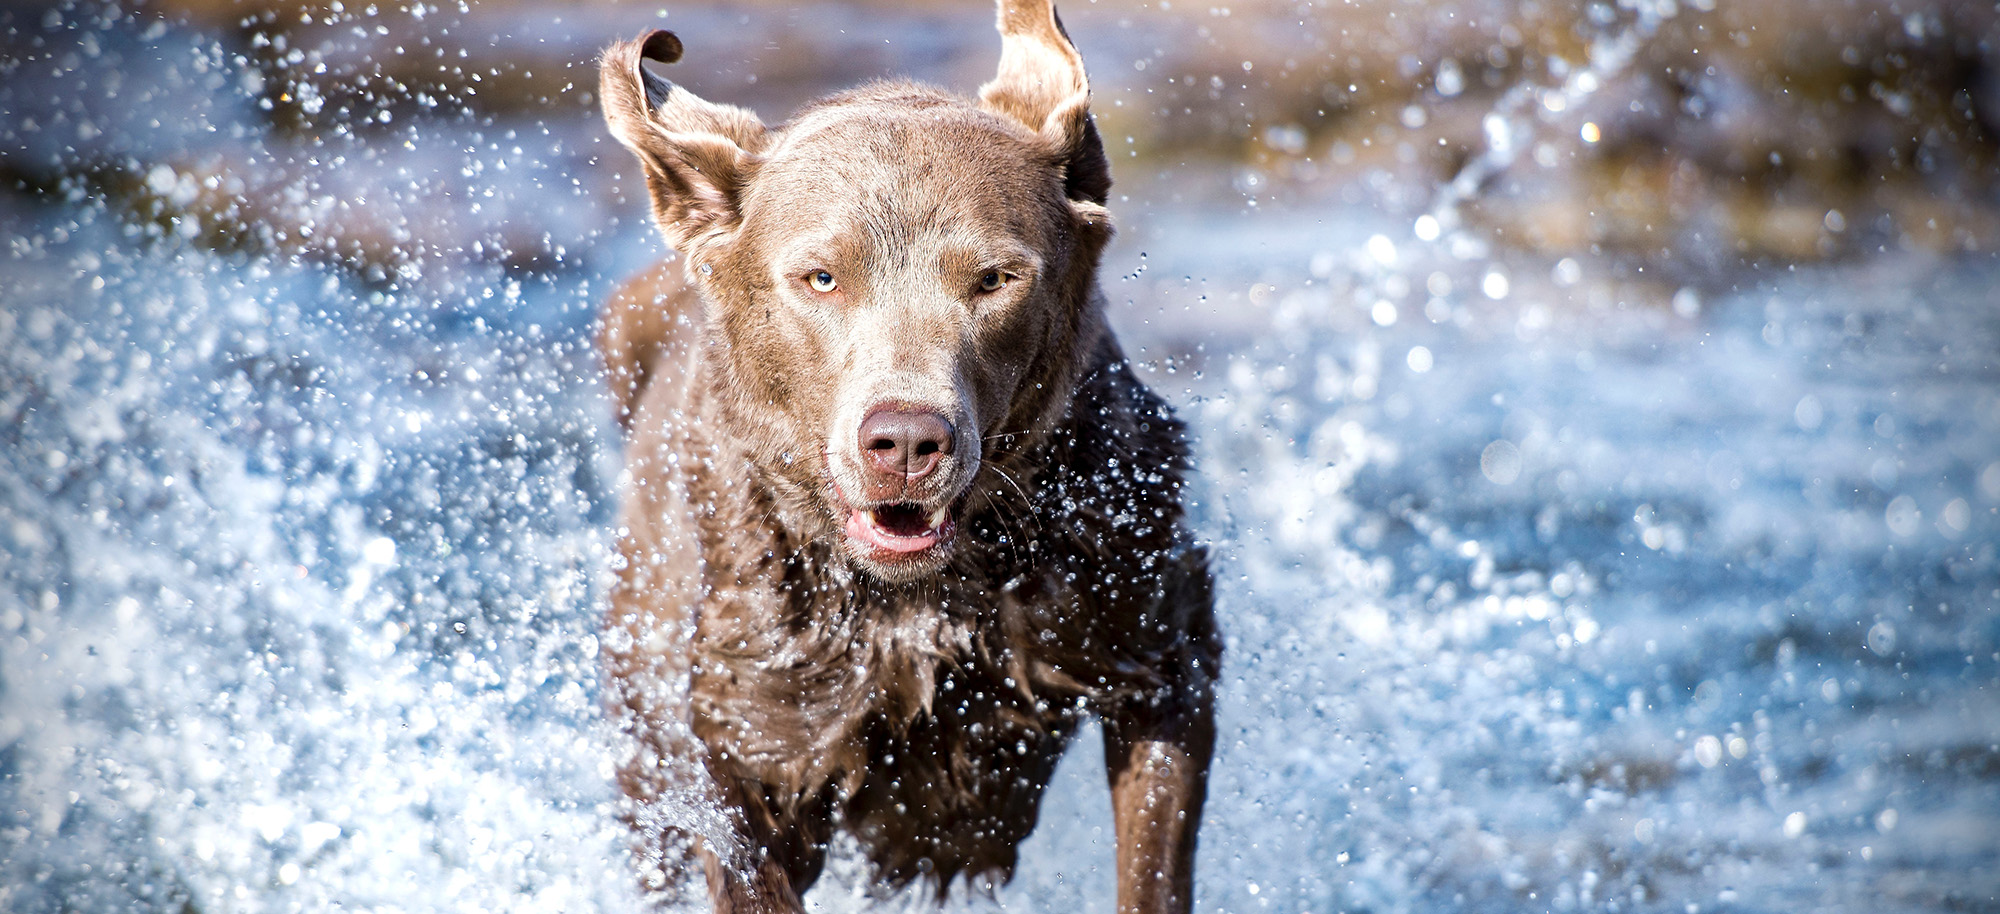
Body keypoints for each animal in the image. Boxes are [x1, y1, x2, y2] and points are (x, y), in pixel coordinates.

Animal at [592, 3, 1216, 908]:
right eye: (820, 277)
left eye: (996, 279)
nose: (909, 440)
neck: (920, 602)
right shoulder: (754, 729)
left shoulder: (1159, 642)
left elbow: (1154, 862)